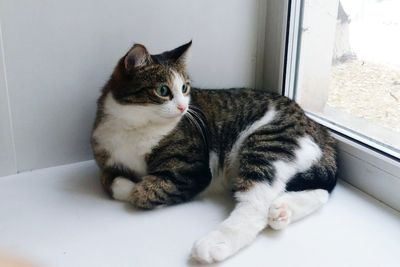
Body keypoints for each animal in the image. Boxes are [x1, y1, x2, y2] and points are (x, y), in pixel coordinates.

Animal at [91, 40, 338, 264]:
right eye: (163, 90)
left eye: (184, 88)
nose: (183, 107)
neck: (134, 127)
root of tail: (314, 124)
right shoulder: (105, 154)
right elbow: (108, 179)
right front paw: (122, 181)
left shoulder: (193, 172)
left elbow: (142, 192)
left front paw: (135, 187)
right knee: (319, 191)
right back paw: (282, 211)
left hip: (268, 143)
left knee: (256, 204)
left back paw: (216, 243)